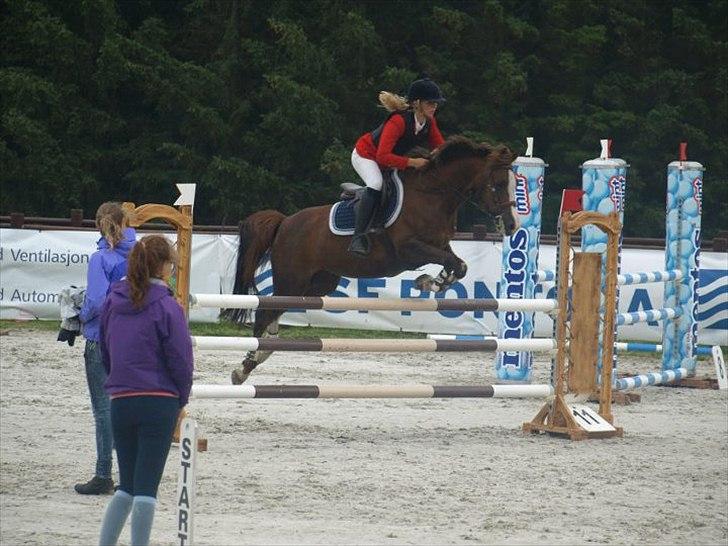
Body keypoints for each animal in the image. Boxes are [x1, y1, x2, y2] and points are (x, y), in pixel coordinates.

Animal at [226, 136, 519, 384]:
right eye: (498, 185)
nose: (511, 225)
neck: (432, 194)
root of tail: (285, 222)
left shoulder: (439, 245)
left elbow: (458, 265)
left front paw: (430, 282)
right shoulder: (408, 249)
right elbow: (454, 263)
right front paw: (428, 282)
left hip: (317, 284)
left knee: (275, 310)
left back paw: (263, 352)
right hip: (293, 279)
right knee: (264, 311)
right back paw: (245, 366)